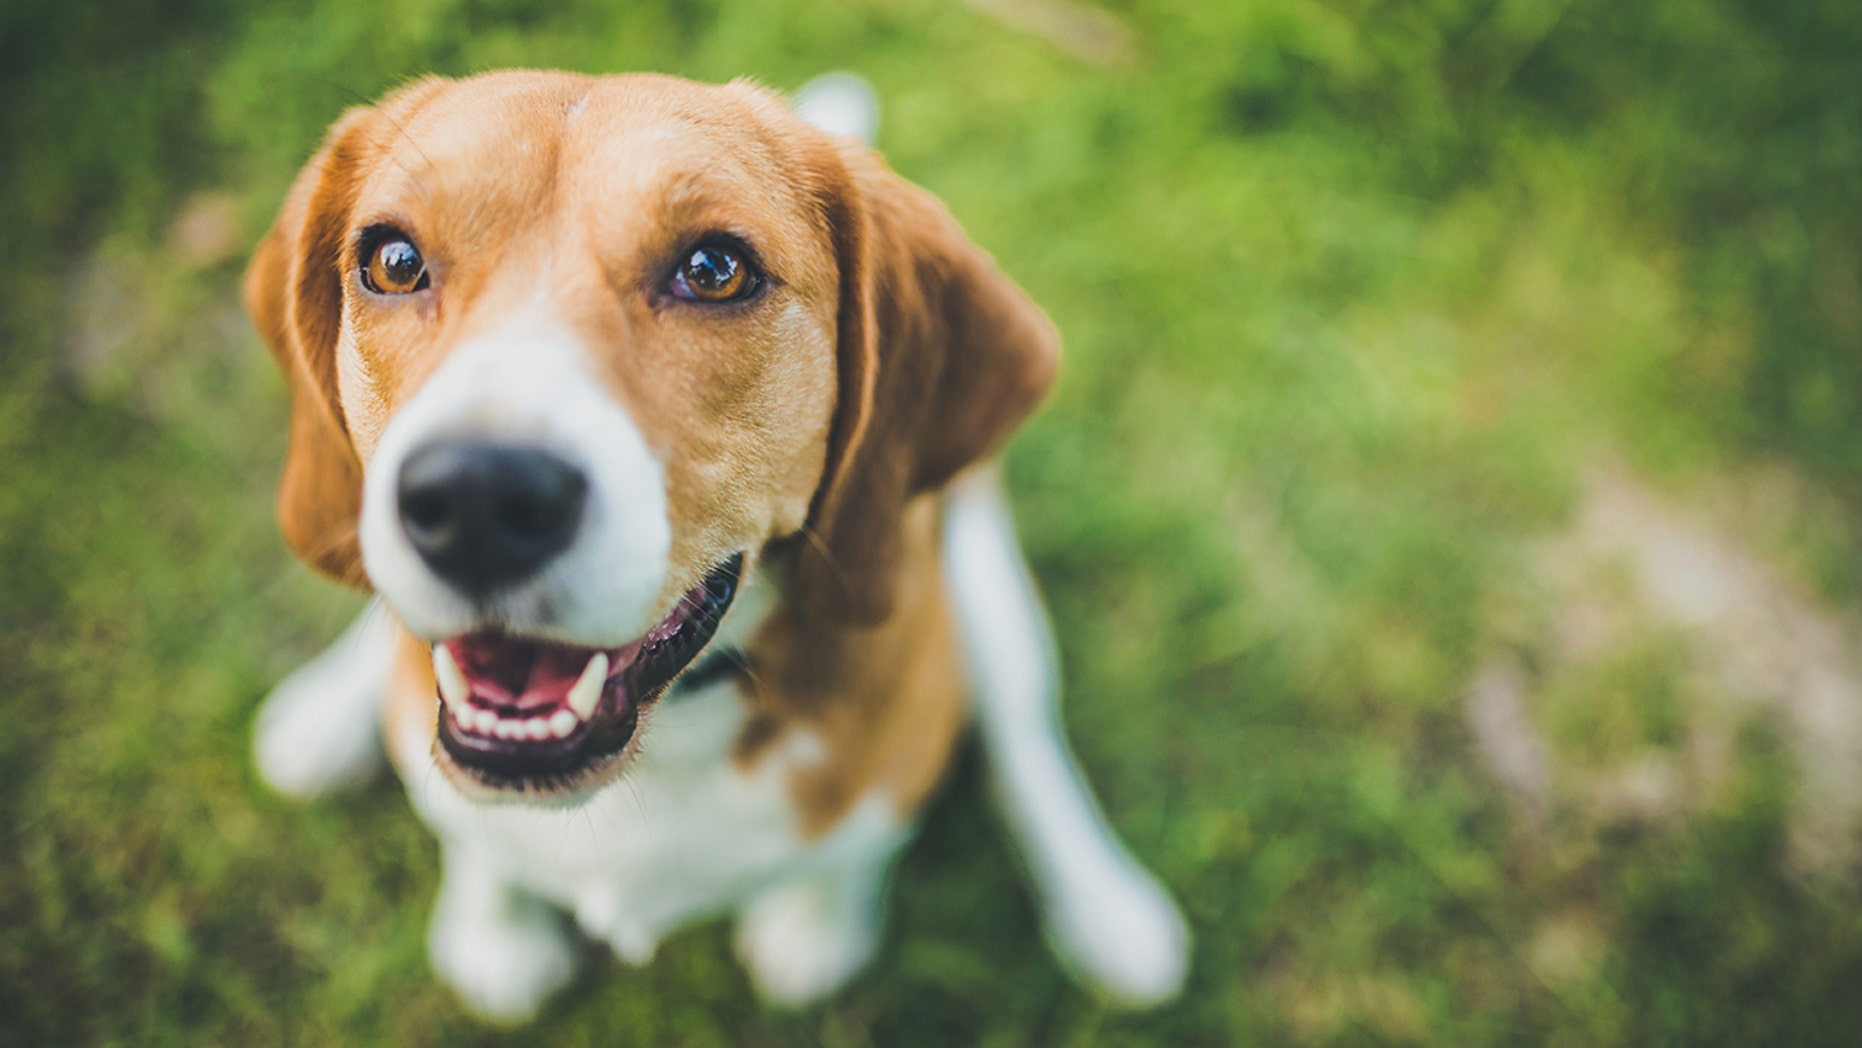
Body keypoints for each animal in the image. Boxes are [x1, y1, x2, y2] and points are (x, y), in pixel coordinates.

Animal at [247, 69, 1184, 1020]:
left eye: (714, 270)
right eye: (393, 261)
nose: (476, 498)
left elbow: (857, 858)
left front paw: (818, 924)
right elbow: (477, 839)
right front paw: (495, 927)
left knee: (1029, 733)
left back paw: (1108, 909)